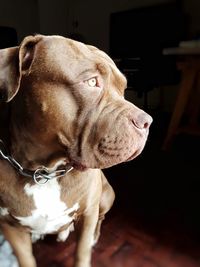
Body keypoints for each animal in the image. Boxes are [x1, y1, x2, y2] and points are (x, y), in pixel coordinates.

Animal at [0, 34, 152, 267]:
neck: (43, 171)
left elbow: (82, 250)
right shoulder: (10, 227)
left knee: (100, 219)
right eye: (91, 82)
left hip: (106, 197)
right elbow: (25, 258)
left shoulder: (89, 212)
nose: (147, 122)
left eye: (123, 89)